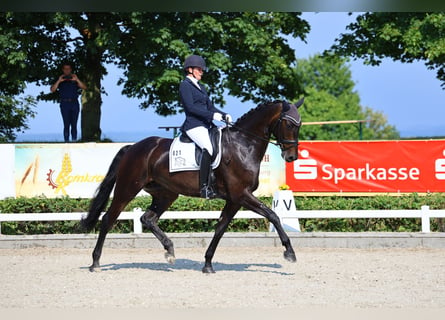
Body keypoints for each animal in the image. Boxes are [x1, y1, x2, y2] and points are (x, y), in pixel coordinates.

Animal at [80, 99, 304, 272]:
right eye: (289, 124)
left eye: (299, 124)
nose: (291, 157)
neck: (243, 145)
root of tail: (133, 147)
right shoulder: (241, 194)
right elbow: (273, 215)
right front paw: (289, 252)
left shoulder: (235, 199)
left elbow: (220, 227)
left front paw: (207, 264)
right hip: (127, 188)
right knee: (108, 219)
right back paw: (95, 262)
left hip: (166, 194)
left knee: (147, 218)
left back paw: (170, 251)